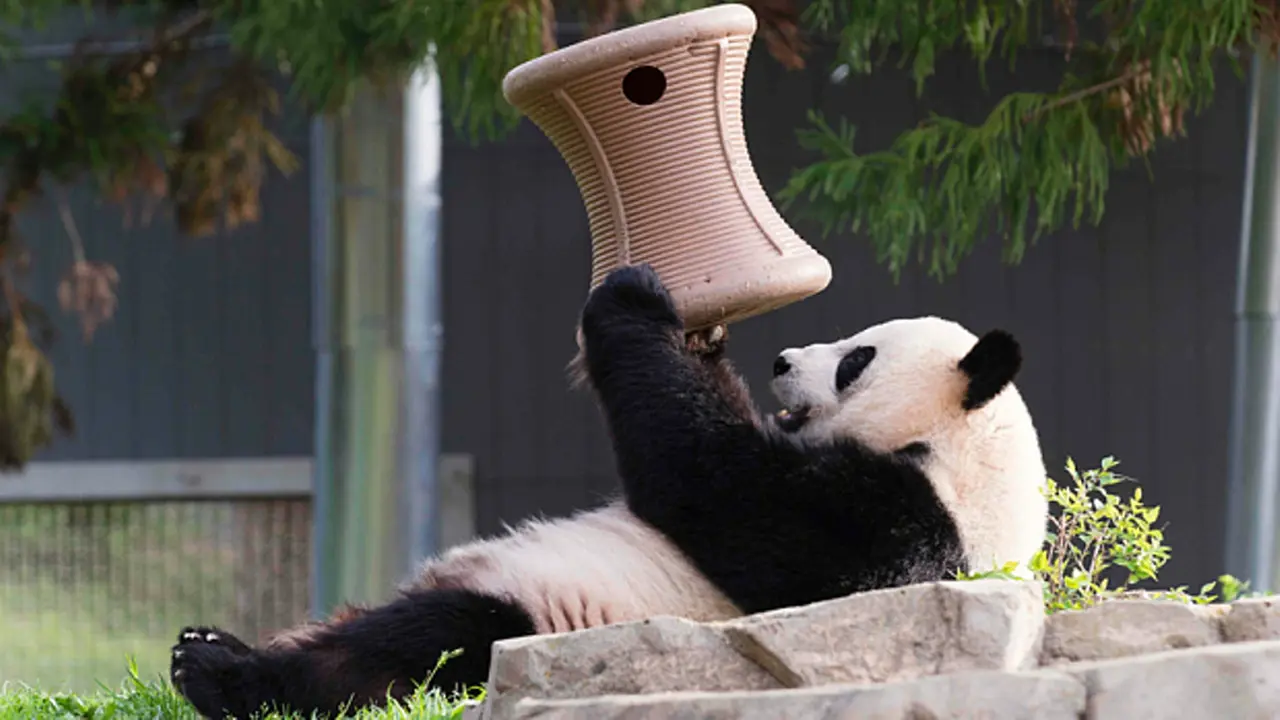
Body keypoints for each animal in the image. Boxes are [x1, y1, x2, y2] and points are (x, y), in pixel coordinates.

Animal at [168, 263, 1049, 720]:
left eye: (858, 358)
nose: (783, 361)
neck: (968, 455)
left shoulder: (899, 526)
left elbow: (719, 486)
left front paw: (635, 299)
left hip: (537, 620)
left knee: (413, 648)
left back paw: (218, 671)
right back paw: (217, 643)